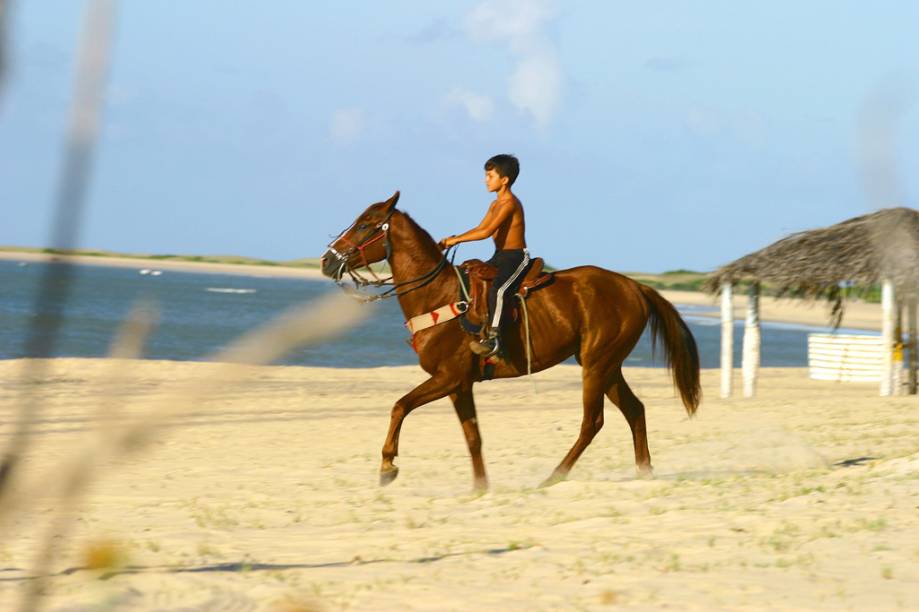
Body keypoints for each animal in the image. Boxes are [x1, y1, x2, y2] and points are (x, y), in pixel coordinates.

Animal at [320, 194, 700, 490]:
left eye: (366, 224)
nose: (326, 260)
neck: (438, 295)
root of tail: (635, 287)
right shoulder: (459, 385)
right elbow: (472, 437)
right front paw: (480, 487)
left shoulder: (447, 377)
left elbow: (400, 406)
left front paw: (388, 466)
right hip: (607, 366)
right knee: (635, 410)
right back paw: (644, 472)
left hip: (597, 365)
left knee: (592, 422)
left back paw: (554, 476)